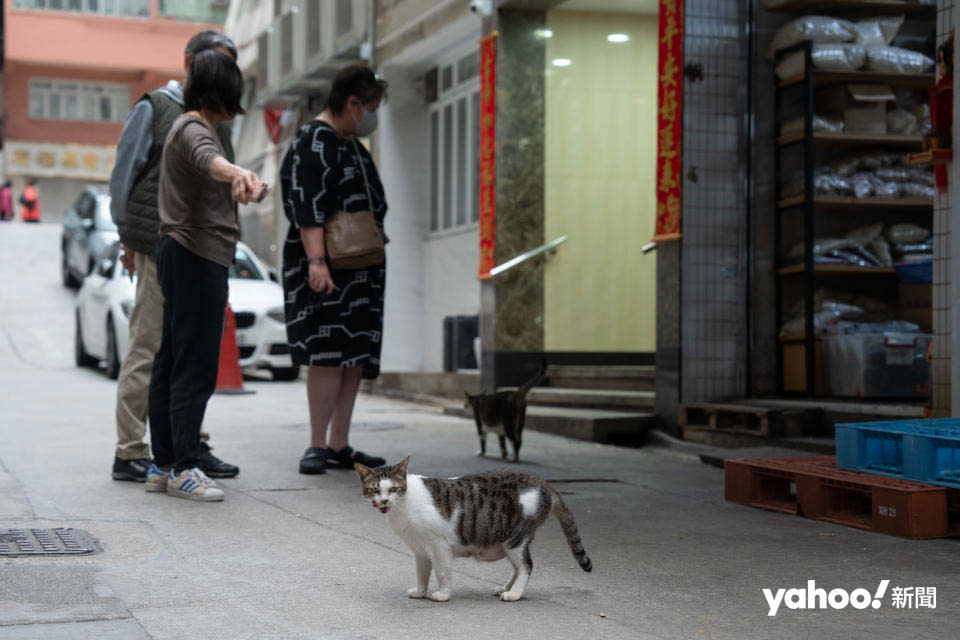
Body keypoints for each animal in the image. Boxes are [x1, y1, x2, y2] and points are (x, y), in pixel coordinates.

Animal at [356, 458, 588, 604]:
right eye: (374, 489)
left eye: (393, 489)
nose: (383, 501)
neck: (401, 508)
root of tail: (543, 483)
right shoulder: (420, 550)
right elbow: (422, 573)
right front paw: (420, 592)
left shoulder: (439, 545)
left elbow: (442, 572)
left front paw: (443, 595)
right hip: (512, 541)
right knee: (518, 567)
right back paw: (505, 588)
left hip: (515, 538)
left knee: (526, 566)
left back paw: (514, 594)